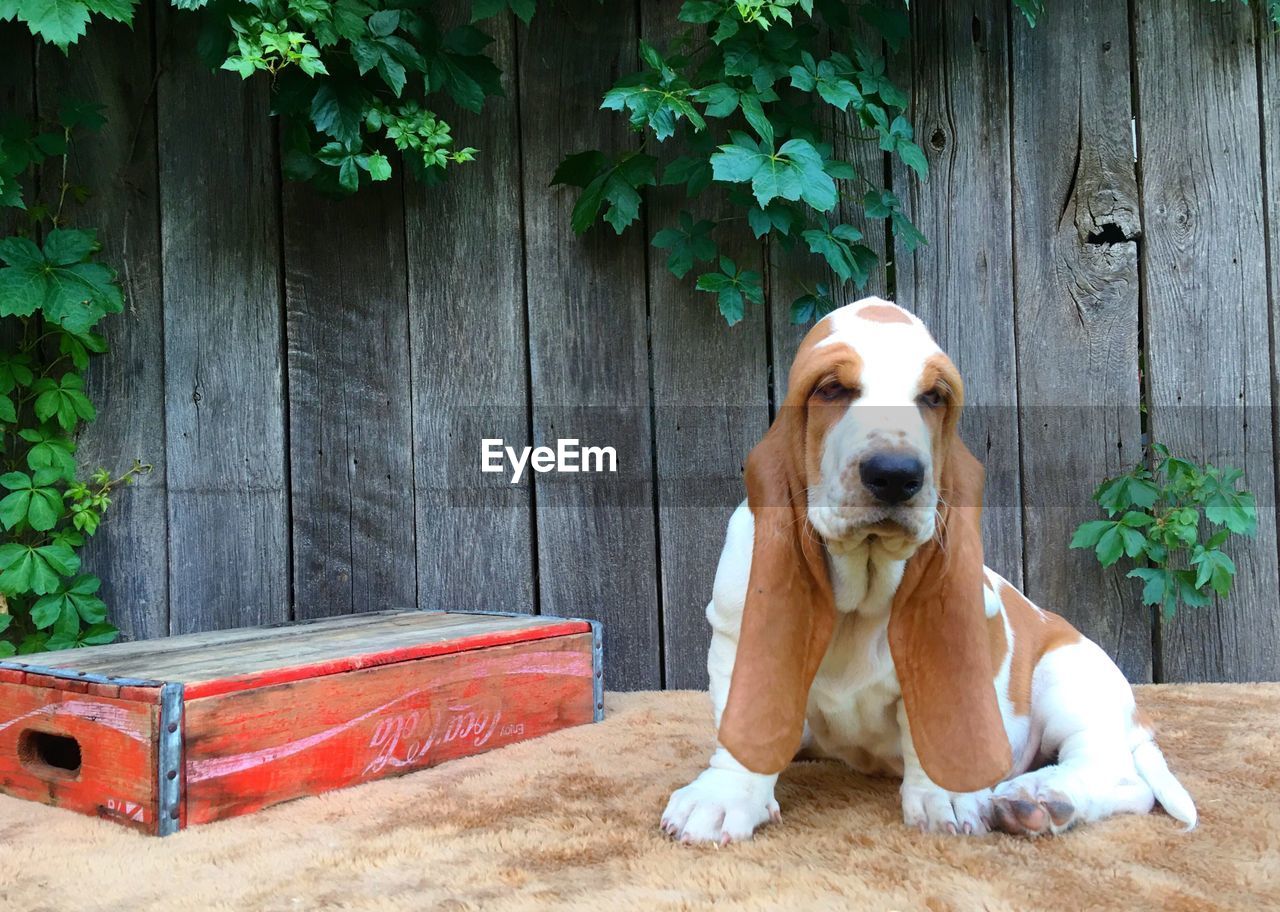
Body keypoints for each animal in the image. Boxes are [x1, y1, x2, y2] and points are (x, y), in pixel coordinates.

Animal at [665, 297, 1192, 840]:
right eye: (832, 389)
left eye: (934, 396)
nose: (896, 475)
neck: (863, 583)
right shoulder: (738, 638)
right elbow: (743, 727)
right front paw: (722, 798)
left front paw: (948, 798)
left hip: (1069, 680)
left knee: (1120, 775)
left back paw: (1037, 798)